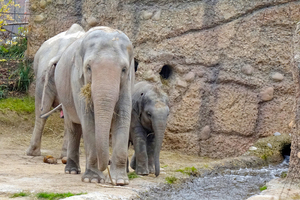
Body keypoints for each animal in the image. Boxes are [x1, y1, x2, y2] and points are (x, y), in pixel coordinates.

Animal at [54, 26, 135, 186]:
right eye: (88, 67)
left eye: (124, 69)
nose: (106, 165)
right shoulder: (76, 78)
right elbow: (88, 120)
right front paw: (92, 179)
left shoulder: (128, 82)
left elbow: (123, 117)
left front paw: (120, 181)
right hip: (64, 97)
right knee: (74, 128)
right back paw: (72, 170)